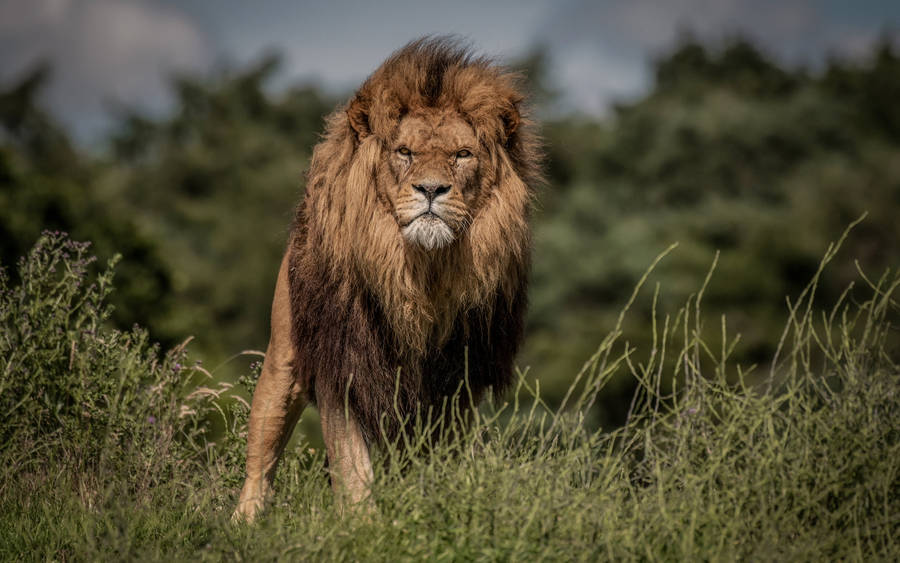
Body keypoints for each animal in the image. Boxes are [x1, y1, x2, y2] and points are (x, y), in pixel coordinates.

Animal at [233, 37, 541, 521]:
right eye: (405, 153)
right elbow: (352, 467)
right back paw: (243, 521)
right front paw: (362, 525)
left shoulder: (456, 382)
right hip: (284, 358)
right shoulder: (343, 363)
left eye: (462, 155)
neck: (419, 273)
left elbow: (437, 462)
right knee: (260, 456)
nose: (431, 189)